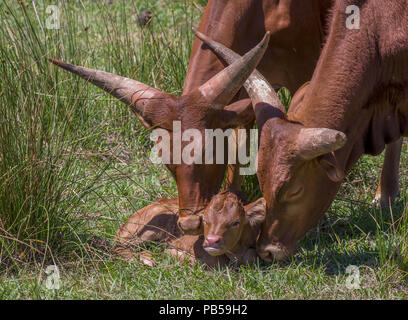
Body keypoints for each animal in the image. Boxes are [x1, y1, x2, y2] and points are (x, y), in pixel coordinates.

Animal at [114, 191, 268, 266]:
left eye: (236, 222)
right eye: (205, 220)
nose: (212, 240)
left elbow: (251, 256)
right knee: (117, 246)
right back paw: (145, 259)